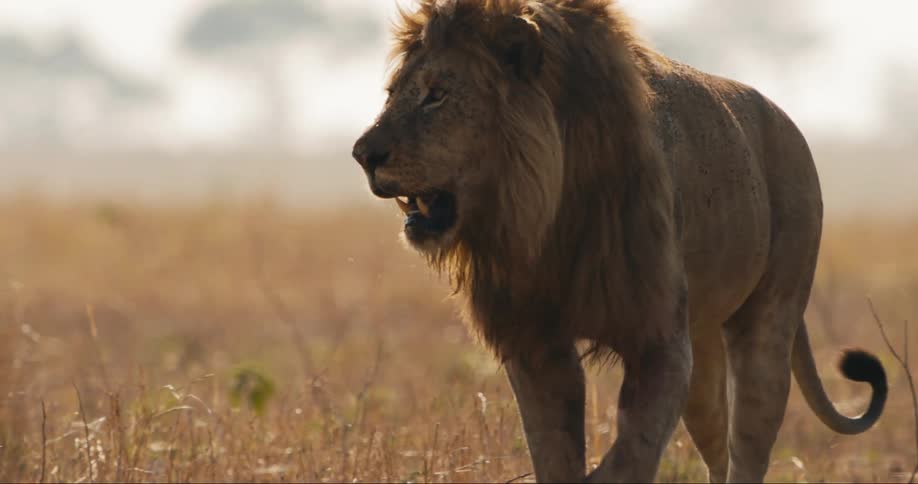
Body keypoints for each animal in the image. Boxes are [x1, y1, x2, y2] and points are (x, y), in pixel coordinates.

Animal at [351, 1, 887, 482]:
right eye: (392, 92)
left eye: (437, 95)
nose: (362, 154)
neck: (543, 217)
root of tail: (789, 123)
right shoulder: (534, 341)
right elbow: (556, 452)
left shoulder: (659, 338)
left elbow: (631, 455)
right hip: (703, 346)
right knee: (717, 451)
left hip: (768, 321)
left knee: (748, 449)